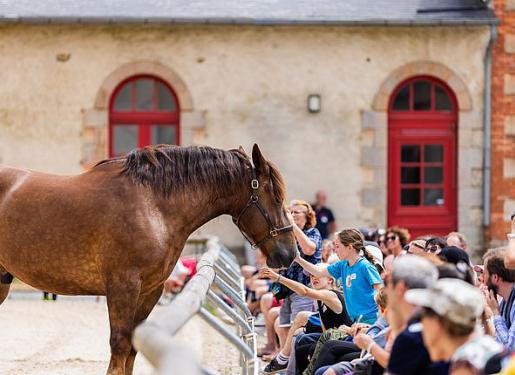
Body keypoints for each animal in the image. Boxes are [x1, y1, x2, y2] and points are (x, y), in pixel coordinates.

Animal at [0, 145, 298, 375]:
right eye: (277, 197)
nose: (289, 253)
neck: (153, 205)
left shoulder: (150, 291)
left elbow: (132, 348)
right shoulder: (123, 287)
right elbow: (119, 346)